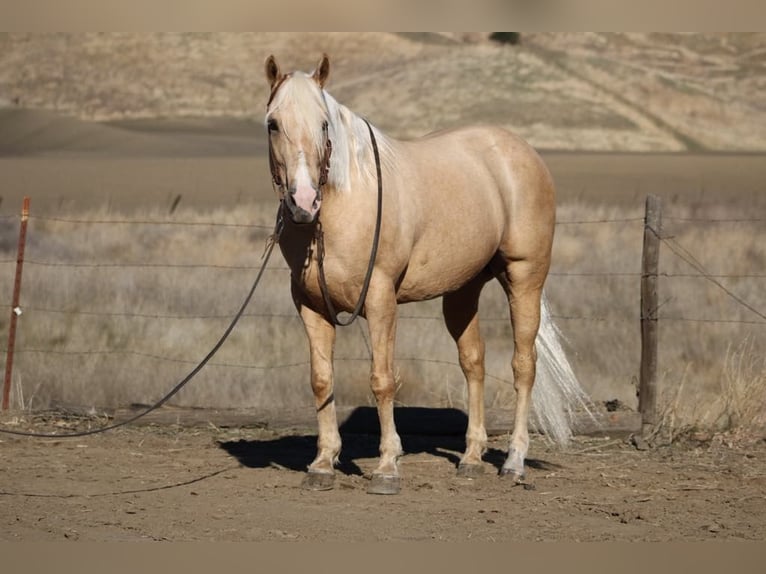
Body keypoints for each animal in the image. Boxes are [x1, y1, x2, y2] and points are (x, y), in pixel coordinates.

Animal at [268, 54, 560, 496]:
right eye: (273, 123)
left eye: (323, 124)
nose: (303, 200)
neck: (345, 204)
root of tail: (520, 150)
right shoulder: (310, 306)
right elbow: (321, 380)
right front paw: (322, 464)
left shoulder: (380, 300)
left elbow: (382, 379)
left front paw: (388, 467)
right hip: (463, 290)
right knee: (473, 362)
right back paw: (471, 459)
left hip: (525, 278)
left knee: (524, 365)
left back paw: (513, 461)